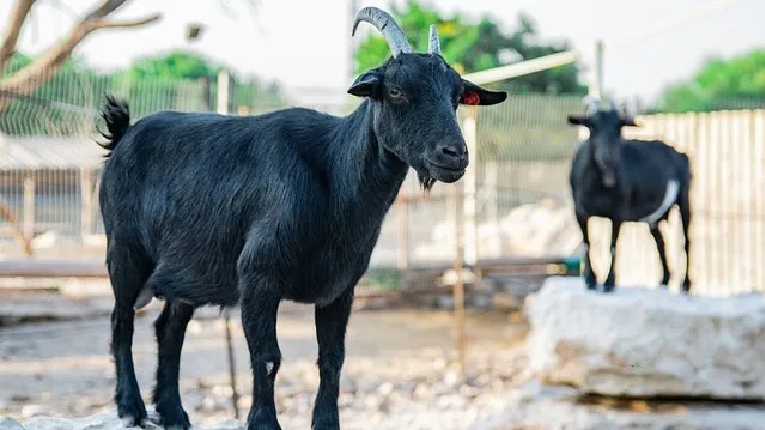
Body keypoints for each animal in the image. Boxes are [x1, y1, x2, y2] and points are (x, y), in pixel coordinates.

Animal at [97, 6, 508, 430]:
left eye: (457, 96)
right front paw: (263, 422)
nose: (454, 154)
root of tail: (123, 135)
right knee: (121, 321)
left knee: (168, 329)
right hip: (124, 251)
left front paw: (326, 422)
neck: (332, 176)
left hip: (187, 272)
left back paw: (174, 413)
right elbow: (268, 357)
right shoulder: (258, 275)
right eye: (395, 90)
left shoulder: (340, 287)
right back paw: (132, 407)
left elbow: (332, 359)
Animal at [568, 97, 692, 292]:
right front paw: (591, 280)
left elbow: (612, 246)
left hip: (684, 199)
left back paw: (686, 284)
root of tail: (679, 153)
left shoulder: (618, 213)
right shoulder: (579, 211)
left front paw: (609, 283)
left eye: (619, 127)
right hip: (653, 218)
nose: (608, 156)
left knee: (686, 239)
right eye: (592, 126)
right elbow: (588, 242)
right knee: (660, 239)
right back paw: (664, 280)